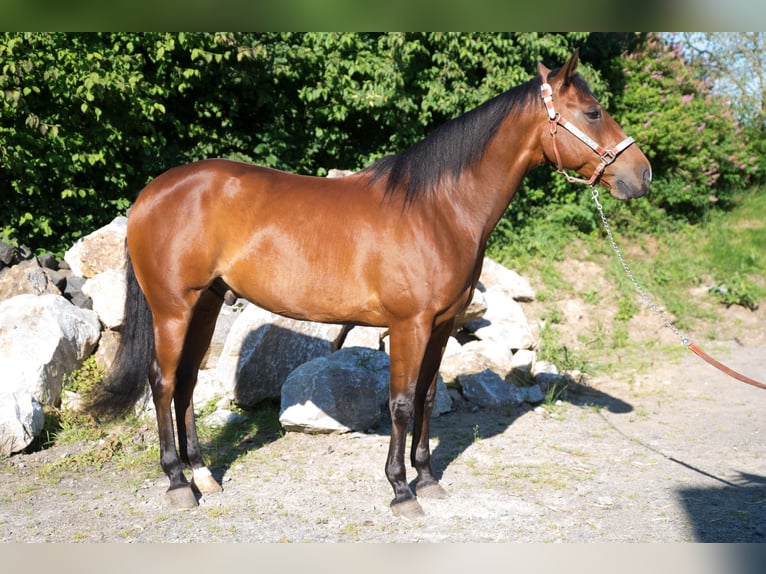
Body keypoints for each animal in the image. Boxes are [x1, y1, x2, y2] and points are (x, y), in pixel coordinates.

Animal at [93, 49, 652, 520]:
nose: (642, 175)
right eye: (593, 112)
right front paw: (401, 490)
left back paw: (204, 475)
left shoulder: (442, 325)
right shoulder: (410, 325)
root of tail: (151, 194)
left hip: (206, 305)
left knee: (186, 383)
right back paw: (177, 483)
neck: (437, 210)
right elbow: (400, 403)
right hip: (173, 309)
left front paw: (428, 478)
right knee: (163, 382)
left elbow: (427, 397)